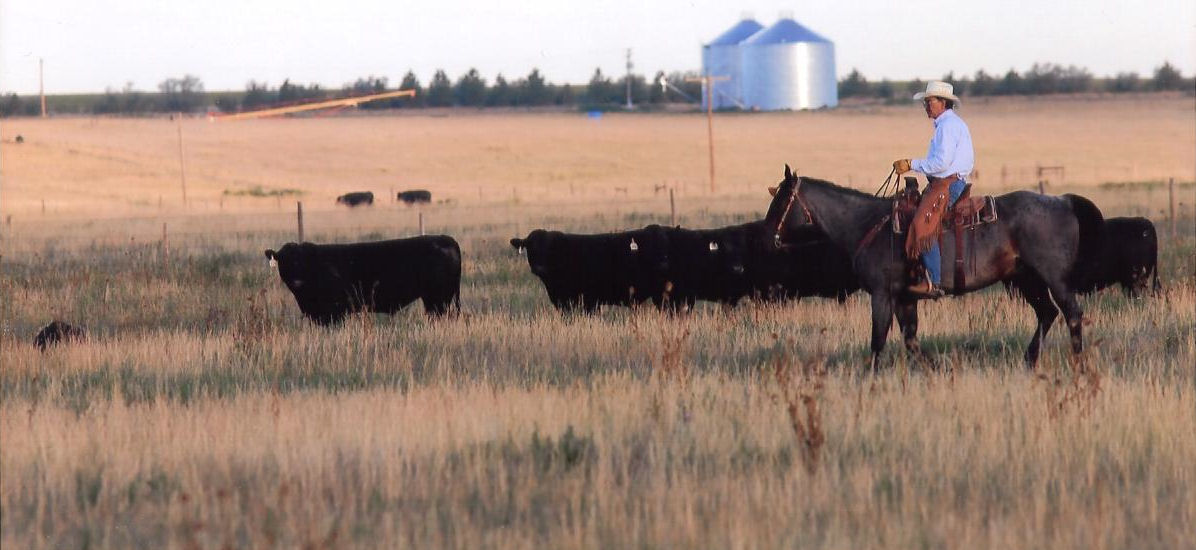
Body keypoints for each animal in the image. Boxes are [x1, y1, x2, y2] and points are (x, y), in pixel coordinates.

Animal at [266, 235, 461, 322]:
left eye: (302, 261)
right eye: (284, 261)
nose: (296, 281)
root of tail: (446, 238)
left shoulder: (335, 311)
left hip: (438, 299)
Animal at [765, 163, 1100, 370]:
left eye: (781, 201)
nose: (769, 237)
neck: (866, 225)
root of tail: (1063, 201)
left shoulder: (882, 294)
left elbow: (878, 339)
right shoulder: (904, 298)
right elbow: (910, 340)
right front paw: (936, 370)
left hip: (1053, 278)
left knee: (1072, 314)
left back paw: (1078, 363)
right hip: (1026, 279)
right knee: (1047, 313)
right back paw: (1030, 360)